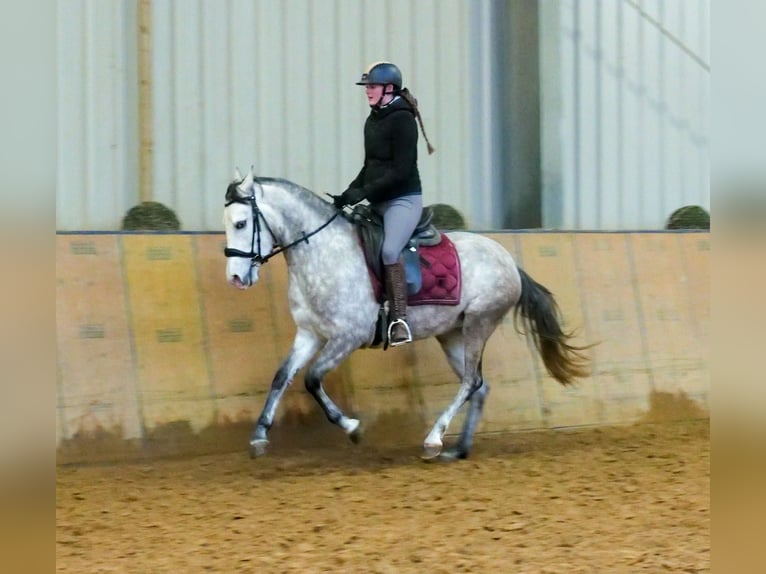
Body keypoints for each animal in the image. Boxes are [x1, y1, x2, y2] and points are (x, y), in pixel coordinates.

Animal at [225, 169, 592, 462]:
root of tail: (507, 260)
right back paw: (459, 449)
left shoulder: (348, 336)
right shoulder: (310, 333)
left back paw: (433, 439)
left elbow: (312, 379)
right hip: (452, 334)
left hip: (479, 323)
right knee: (478, 385)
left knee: (471, 382)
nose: (236, 278)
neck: (323, 252)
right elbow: (282, 376)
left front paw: (353, 428)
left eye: (241, 223)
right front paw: (259, 438)